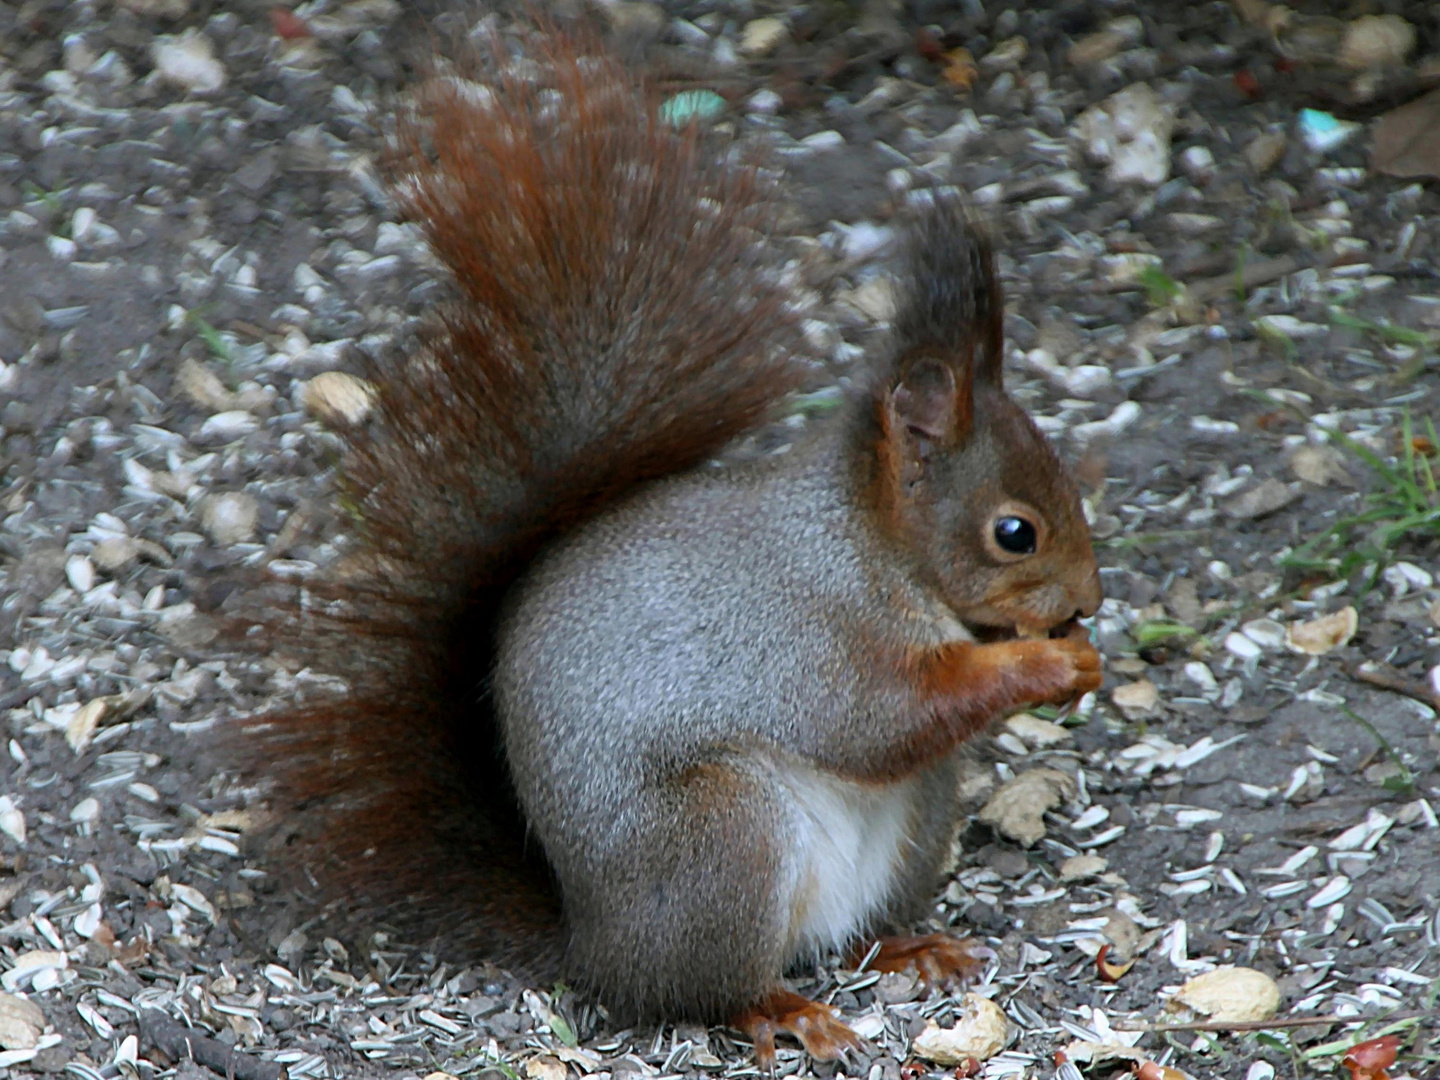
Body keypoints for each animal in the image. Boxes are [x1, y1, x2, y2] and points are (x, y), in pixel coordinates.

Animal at [247, 33, 1100, 1077]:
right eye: (1014, 532)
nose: (1091, 597)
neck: (870, 545)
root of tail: (592, 940)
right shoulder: (808, 632)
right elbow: (877, 717)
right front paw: (1046, 664)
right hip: (723, 836)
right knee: (703, 991)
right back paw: (780, 1008)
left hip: (912, 819)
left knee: (851, 931)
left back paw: (907, 945)